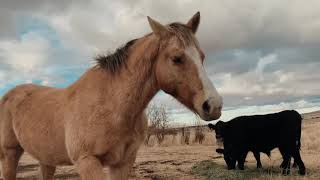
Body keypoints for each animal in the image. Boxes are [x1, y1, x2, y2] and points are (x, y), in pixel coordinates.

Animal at [0, 11, 222, 179]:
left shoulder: (122, 162)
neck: (112, 104)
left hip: (46, 160)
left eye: (202, 57)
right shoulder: (87, 162)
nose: (214, 105)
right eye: (176, 58)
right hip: (9, 154)